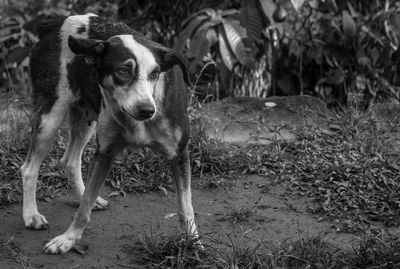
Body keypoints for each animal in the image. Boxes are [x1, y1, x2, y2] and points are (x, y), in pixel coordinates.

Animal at [20, 13, 198, 253]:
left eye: (155, 74)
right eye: (122, 71)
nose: (147, 110)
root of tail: (54, 23)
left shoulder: (179, 154)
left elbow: (185, 206)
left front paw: (193, 243)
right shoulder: (105, 153)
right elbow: (83, 210)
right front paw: (68, 239)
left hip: (86, 119)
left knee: (70, 161)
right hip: (50, 116)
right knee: (29, 168)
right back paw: (31, 215)